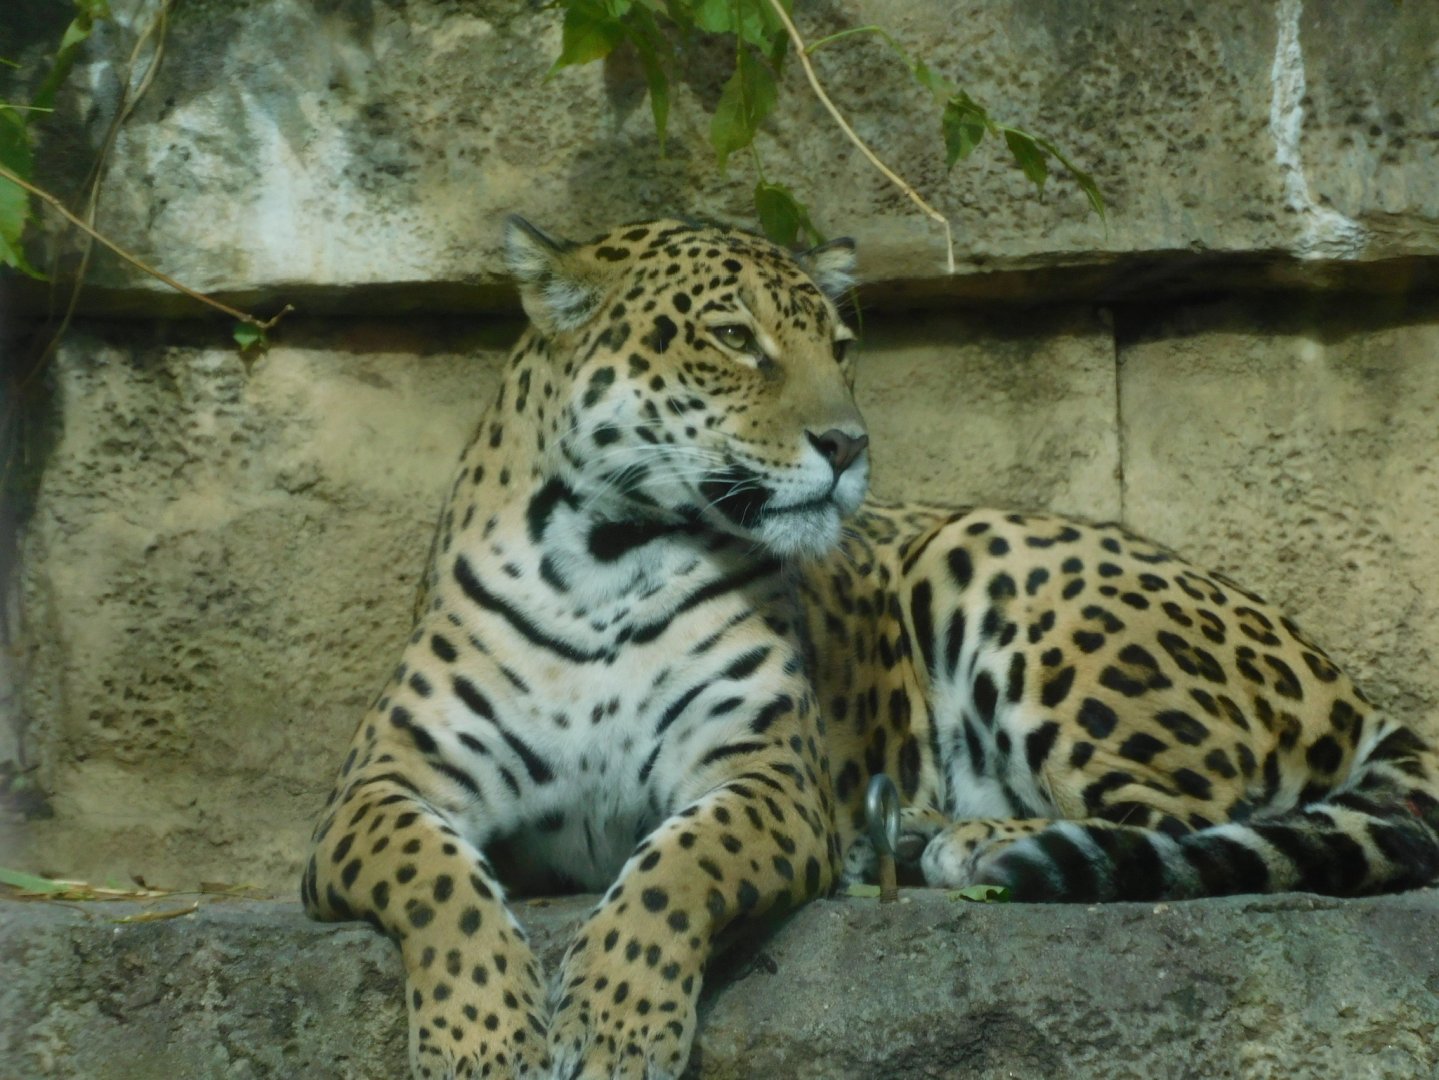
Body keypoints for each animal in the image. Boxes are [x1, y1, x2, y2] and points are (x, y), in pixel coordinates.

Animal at [303, 216, 1439, 1080]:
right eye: (732, 336)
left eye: (837, 348)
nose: (848, 445)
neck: (605, 558)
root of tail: (1347, 686)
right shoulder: (375, 791)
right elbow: (438, 884)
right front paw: (483, 1040)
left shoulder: (763, 779)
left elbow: (674, 869)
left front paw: (616, 1025)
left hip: (989, 552)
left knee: (1190, 818)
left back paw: (970, 839)